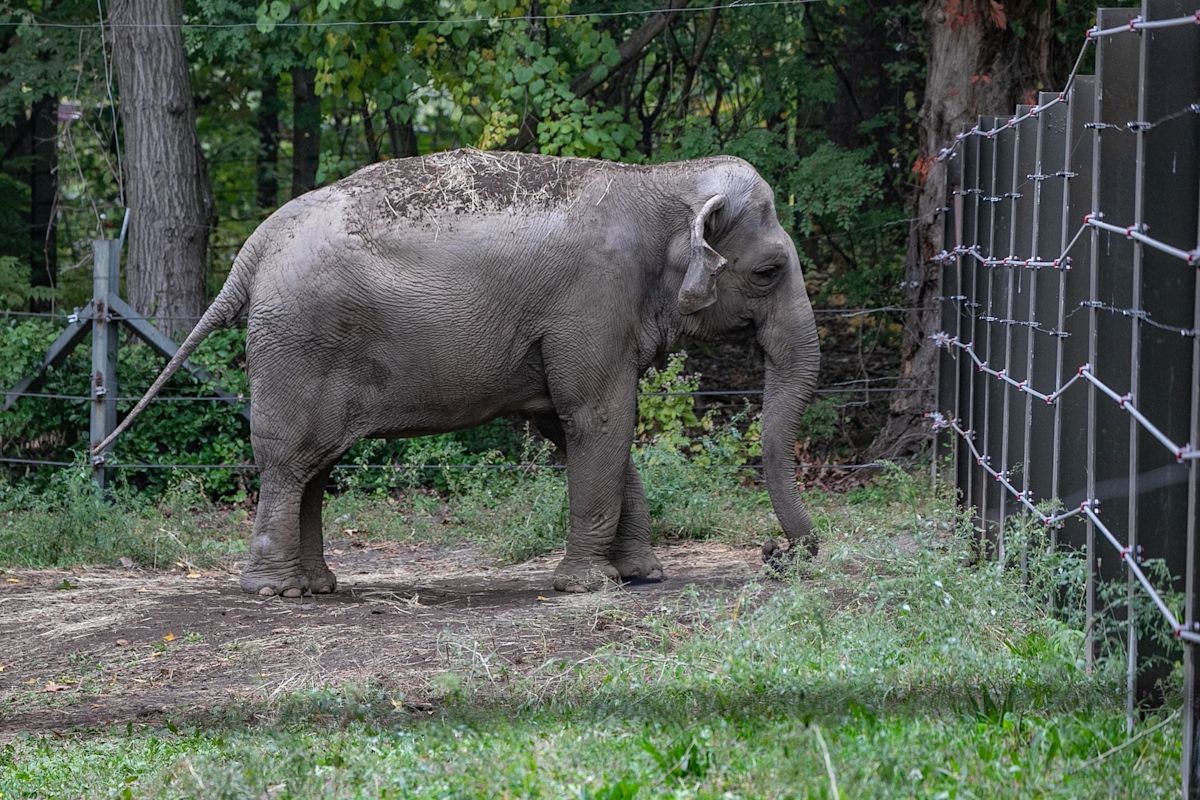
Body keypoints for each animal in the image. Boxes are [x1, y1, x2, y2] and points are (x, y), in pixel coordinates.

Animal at [96, 149, 821, 597]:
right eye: (769, 271)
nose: (779, 554)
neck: (661, 181)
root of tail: (254, 248)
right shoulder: (592, 302)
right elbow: (599, 417)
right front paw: (590, 586)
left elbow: (573, 427)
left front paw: (641, 575)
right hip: (297, 344)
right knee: (288, 461)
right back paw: (277, 591)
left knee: (314, 468)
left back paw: (318, 586)